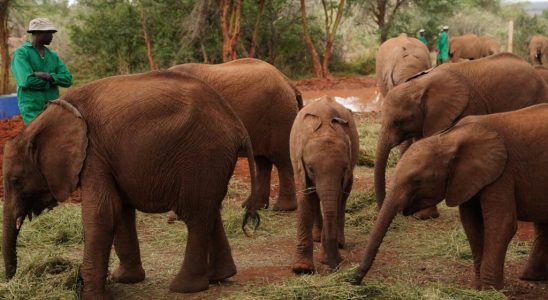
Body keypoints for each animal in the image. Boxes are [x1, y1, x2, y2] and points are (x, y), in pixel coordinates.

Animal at [1, 71, 262, 298]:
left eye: (16, 181)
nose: (12, 278)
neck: (44, 121)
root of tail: (237, 125)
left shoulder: (93, 154)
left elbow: (102, 214)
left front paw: (92, 295)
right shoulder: (106, 158)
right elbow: (121, 210)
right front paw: (124, 280)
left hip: (202, 156)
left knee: (195, 215)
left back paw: (184, 288)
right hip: (212, 162)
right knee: (209, 210)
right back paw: (221, 276)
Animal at [169, 57, 302, 210]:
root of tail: (289, 82)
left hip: (280, 116)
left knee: (281, 160)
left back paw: (282, 208)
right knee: (262, 162)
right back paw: (253, 206)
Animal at [286, 96, 360, 272]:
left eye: (344, 168)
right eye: (311, 168)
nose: (336, 266)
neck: (325, 130)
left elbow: (335, 199)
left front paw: (325, 259)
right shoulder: (299, 163)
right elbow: (305, 197)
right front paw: (302, 269)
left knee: (342, 198)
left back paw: (338, 242)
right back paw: (318, 238)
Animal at [354, 104, 548, 290]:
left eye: (417, 181)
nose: (354, 279)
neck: (451, 137)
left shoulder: (502, 173)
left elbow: (501, 225)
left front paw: (492, 291)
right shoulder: (467, 178)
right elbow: (472, 224)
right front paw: (478, 288)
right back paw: (531, 277)